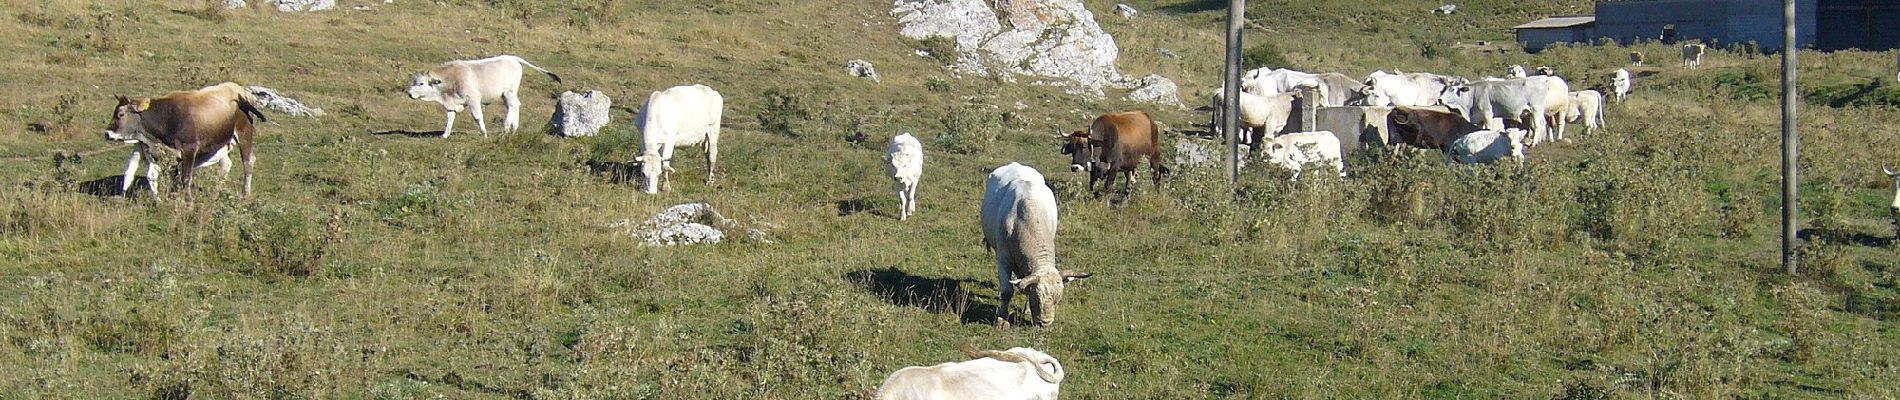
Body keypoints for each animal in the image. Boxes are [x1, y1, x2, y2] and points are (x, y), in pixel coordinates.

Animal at [103, 81, 264, 202]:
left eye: (120, 114)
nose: (107, 133)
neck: (166, 118)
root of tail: (239, 90)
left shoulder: (189, 150)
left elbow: (185, 177)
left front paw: (188, 202)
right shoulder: (162, 154)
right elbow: (165, 177)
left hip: (244, 132)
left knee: (248, 161)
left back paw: (245, 193)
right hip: (220, 143)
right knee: (225, 164)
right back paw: (214, 194)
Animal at [404, 54, 558, 137]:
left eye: (421, 83)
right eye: (414, 81)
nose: (409, 93)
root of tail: (512, 58)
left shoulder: (473, 99)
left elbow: (477, 117)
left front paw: (484, 133)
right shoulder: (452, 103)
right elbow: (450, 118)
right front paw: (445, 134)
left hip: (508, 92)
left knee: (512, 106)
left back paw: (505, 128)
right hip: (507, 94)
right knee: (515, 106)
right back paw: (513, 129)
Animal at [980, 163, 1086, 327]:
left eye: (1057, 300)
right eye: (1037, 299)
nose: (1045, 324)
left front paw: (1028, 311)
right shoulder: (1003, 259)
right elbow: (1006, 292)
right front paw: (1002, 320)